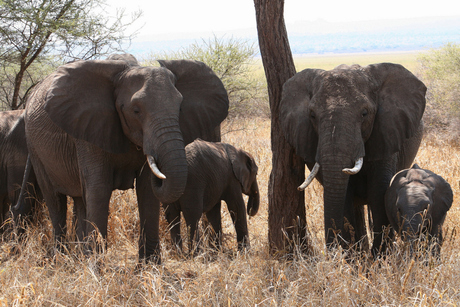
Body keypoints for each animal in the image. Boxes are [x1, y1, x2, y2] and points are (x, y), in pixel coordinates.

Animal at [19, 54, 228, 264]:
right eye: (136, 110)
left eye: (180, 108)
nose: (160, 170)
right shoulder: (89, 129)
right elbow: (99, 188)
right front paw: (96, 268)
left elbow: (146, 190)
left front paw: (150, 266)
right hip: (33, 145)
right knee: (55, 200)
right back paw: (62, 260)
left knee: (79, 200)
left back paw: (79, 257)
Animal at [280, 62, 428, 255]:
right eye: (312, 115)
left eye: (364, 113)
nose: (332, 251)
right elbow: (345, 196)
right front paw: (353, 256)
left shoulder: (386, 133)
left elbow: (379, 193)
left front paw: (379, 257)